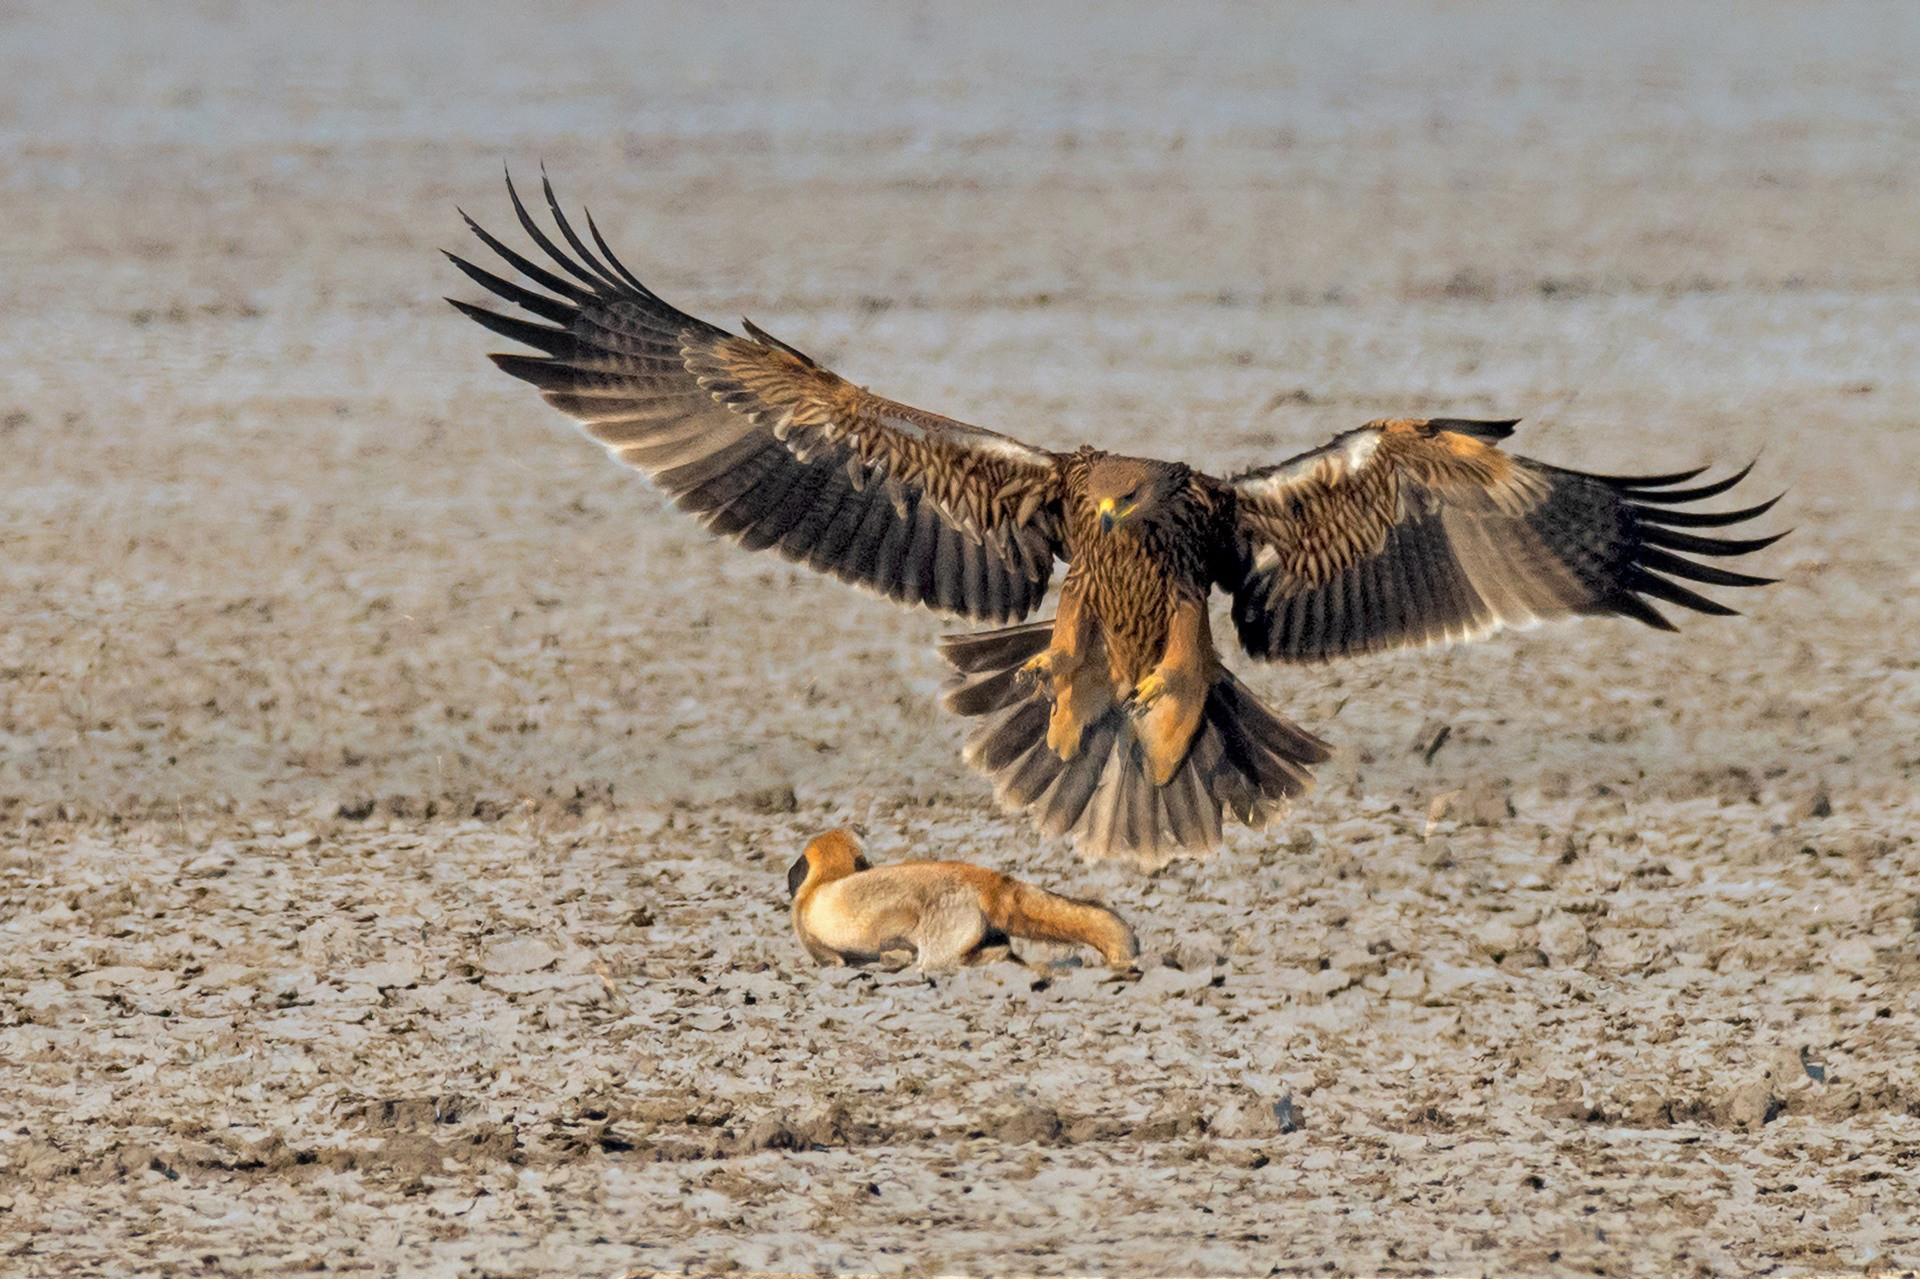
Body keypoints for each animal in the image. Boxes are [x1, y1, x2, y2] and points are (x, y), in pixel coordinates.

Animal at [786, 828, 1140, 974]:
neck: (824, 881)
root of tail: (985, 877)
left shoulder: (813, 940)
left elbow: (832, 959)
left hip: (938, 950)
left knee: (957, 960)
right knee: (1007, 951)